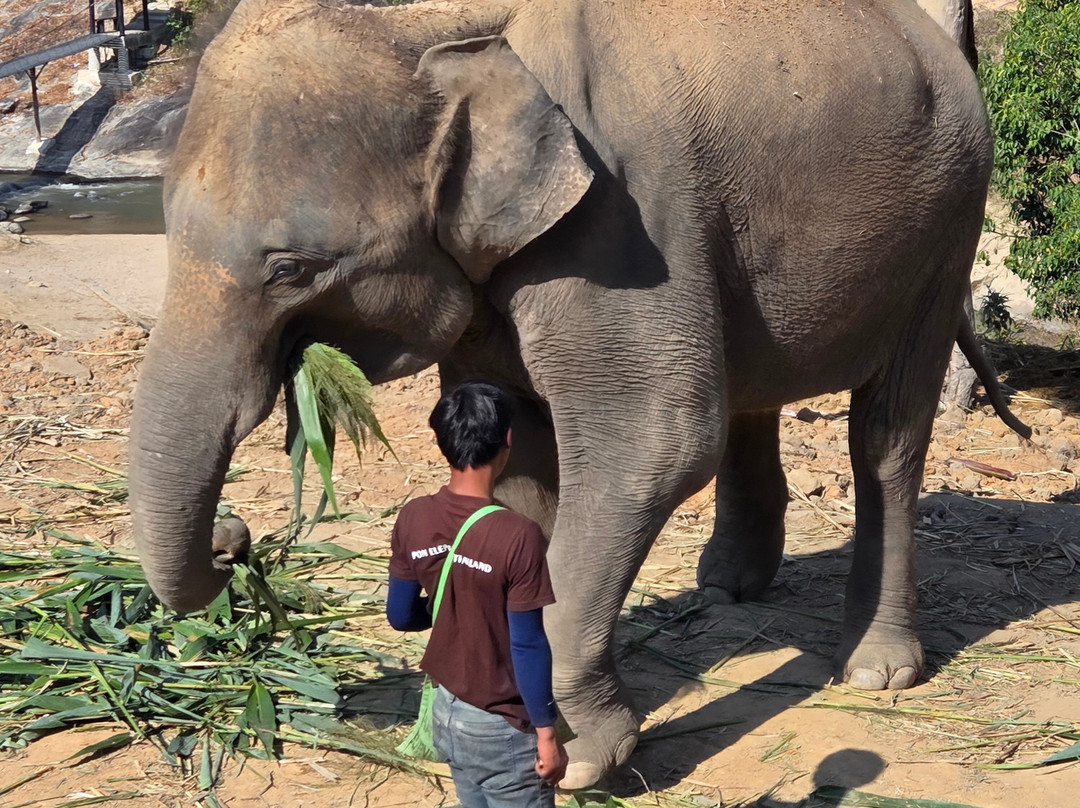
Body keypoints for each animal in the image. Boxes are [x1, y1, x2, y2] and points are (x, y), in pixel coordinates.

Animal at [128, 0, 1029, 789]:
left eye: (291, 269)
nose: (237, 540)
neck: (440, 26)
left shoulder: (624, 217)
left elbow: (658, 441)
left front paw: (581, 760)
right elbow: (516, 446)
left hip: (949, 222)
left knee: (886, 431)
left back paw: (876, 670)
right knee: (755, 389)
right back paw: (727, 587)